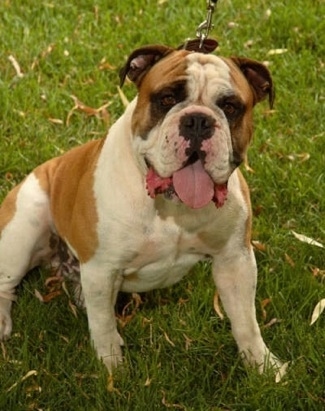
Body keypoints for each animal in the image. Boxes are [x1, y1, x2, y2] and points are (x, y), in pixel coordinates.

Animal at [0, 43, 280, 374]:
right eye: (167, 98)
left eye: (231, 107)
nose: (198, 120)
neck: (172, 209)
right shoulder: (102, 267)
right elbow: (103, 325)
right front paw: (111, 368)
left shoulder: (235, 260)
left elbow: (246, 320)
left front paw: (263, 365)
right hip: (22, 231)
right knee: (7, 283)